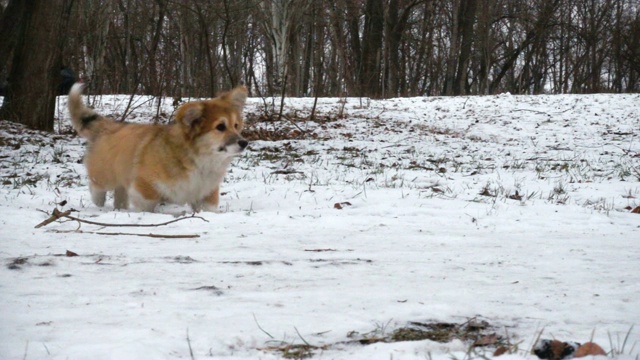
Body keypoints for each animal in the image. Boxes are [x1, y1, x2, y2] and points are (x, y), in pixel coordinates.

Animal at [67, 83, 248, 212]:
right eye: (220, 127)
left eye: (236, 126)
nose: (244, 143)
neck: (198, 160)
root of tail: (110, 126)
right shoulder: (145, 186)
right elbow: (147, 204)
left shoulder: (206, 194)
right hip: (105, 174)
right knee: (97, 186)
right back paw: (99, 200)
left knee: (120, 194)